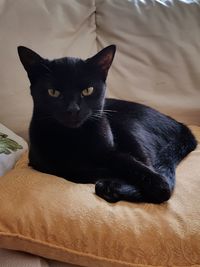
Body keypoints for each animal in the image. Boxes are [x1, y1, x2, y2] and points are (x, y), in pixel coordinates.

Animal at [18, 46, 197, 204]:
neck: (74, 137)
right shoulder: (47, 165)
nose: (73, 109)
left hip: (128, 127)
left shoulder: (109, 151)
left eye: (88, 90)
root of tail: (180, 125)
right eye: (53, 92)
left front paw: (158, 185)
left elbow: (128, 162)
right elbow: (79, 170)